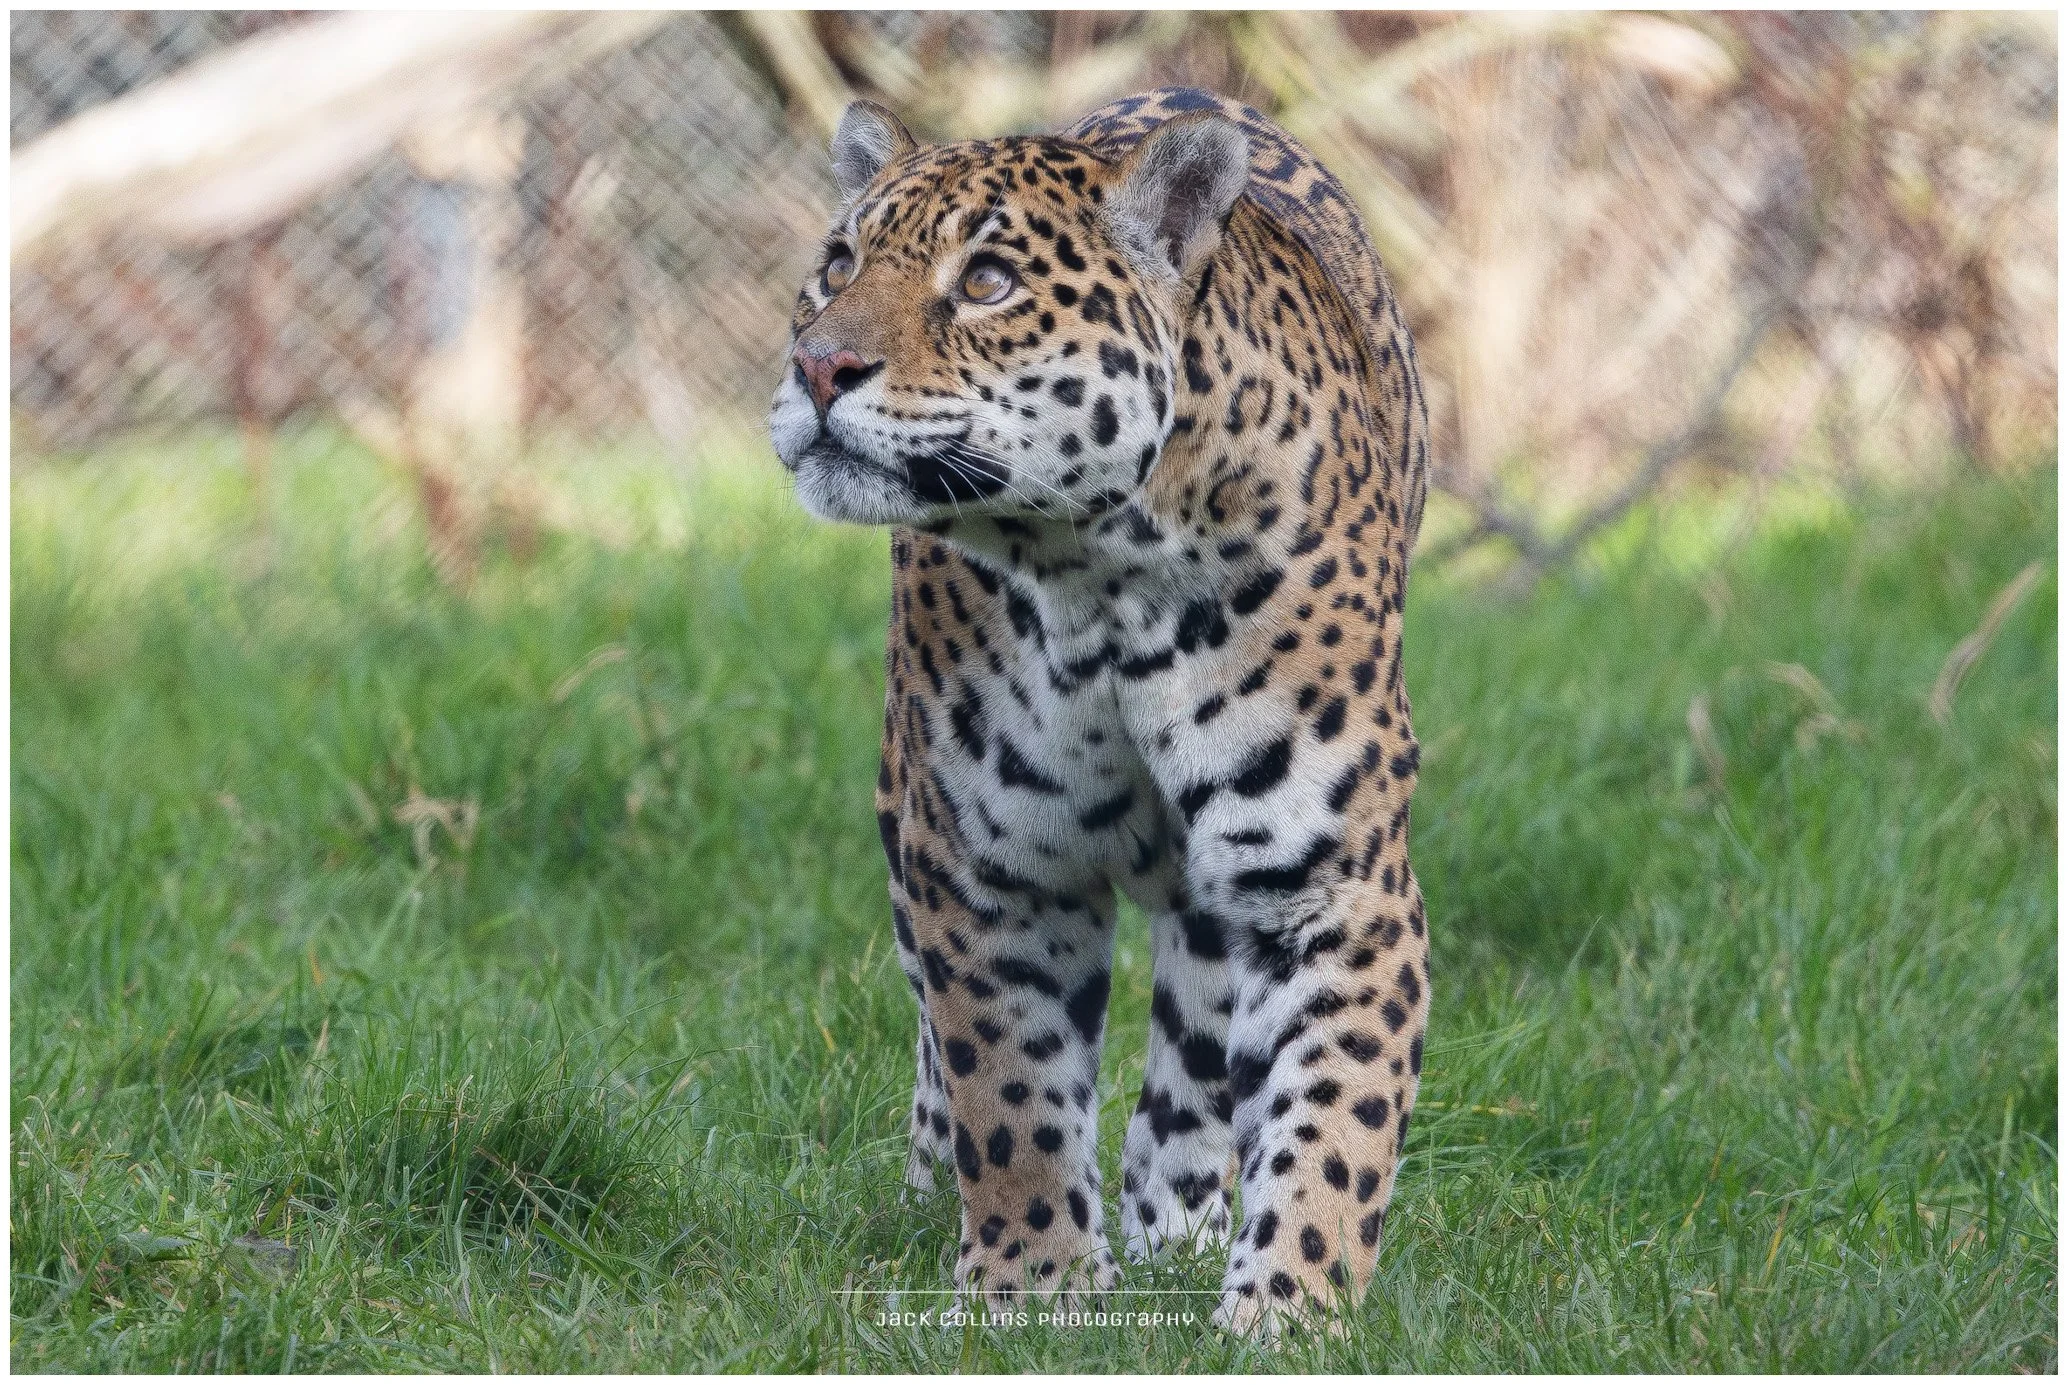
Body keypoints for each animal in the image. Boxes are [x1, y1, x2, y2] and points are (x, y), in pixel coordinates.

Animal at [767, 87, 1431, 1336]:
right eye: (836, 266)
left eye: (987, 282)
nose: (820, 364)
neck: (1101, 571)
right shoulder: (986, 863)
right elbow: (1008, 1087)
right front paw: (1031, 1288)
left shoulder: (1331, 885)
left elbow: (1335, 1120)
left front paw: (1288, 1312)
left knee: (1197, 1045)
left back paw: (1177, 1221)